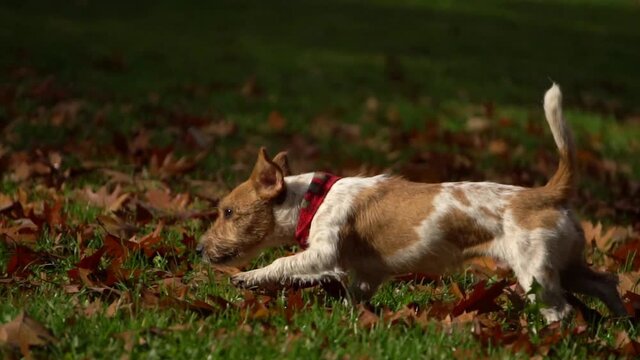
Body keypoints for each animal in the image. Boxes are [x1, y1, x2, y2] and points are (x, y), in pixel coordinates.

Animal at [199, 85, 624, 324]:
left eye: (228, 212)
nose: (200, 249)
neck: (313, 200)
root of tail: (546, 193)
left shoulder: (323, 252)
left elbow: (282, 263)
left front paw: (247, 277)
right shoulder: (367, 273)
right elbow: (355, 293)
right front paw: (353, 317)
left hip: (535, 272)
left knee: (561, 311)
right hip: (566, 264)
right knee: (605, 283)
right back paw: (623, 322)